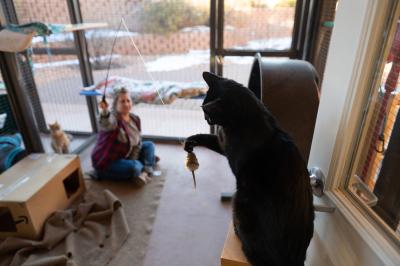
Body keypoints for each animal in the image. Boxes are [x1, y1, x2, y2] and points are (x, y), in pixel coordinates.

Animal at [185, 71, 316, 264]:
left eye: (208, 115)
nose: (205, 118)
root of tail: (292, 258)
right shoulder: (222, 143)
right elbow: (205, 137)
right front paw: (190, 141)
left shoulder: (230, 153)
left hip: (240, 198)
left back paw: (237, 230)